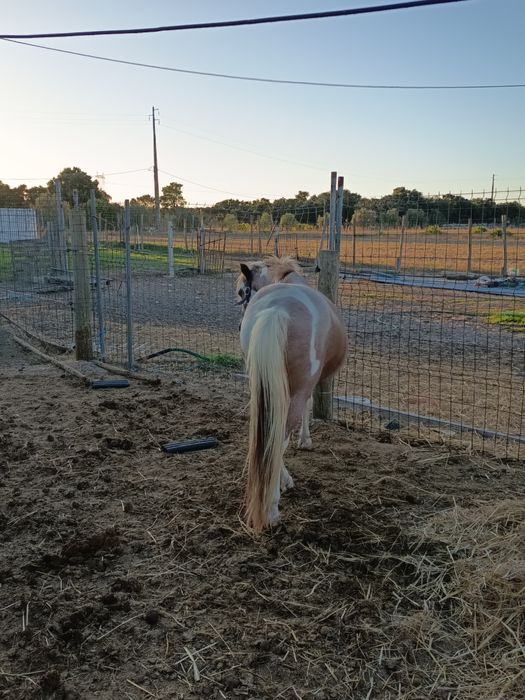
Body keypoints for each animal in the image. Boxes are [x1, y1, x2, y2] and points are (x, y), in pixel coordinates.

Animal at [237, 256, 347, 531]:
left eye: (243, 292)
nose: (239, 324)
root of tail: (276, 308)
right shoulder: (307, 387)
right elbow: (308, 408)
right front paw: (305, 441)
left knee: (267, 435)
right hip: (296, 390)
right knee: (279, 438)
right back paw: (271, 510)